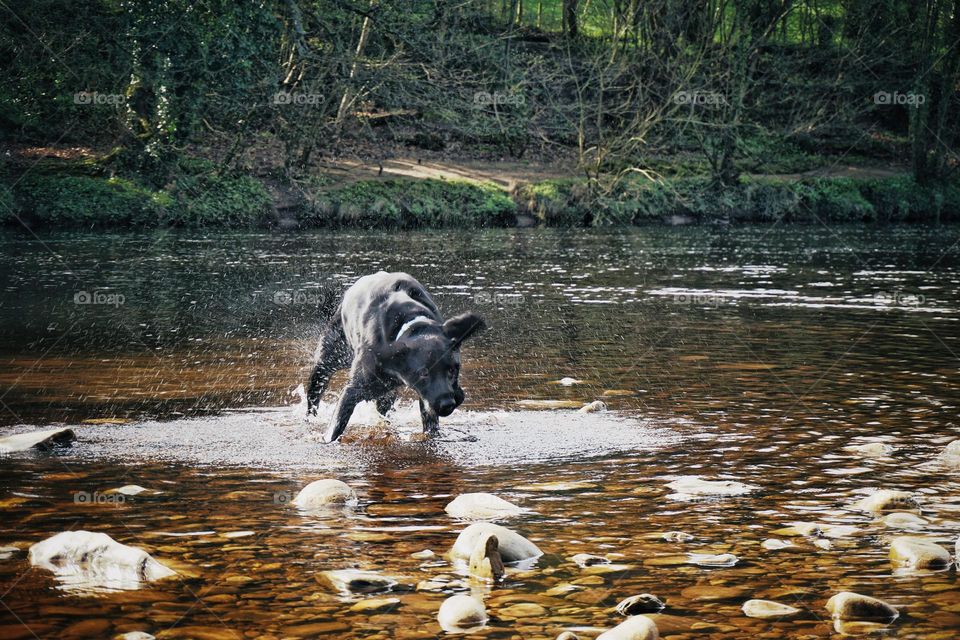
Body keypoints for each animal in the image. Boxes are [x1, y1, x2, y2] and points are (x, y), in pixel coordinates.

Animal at [308, 272, 488, 444]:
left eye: (452, 370)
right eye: (423, 373)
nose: (447, 404)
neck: (412, 324)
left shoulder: (425, 398)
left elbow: (431, 427)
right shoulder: (352, 390)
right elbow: (335, 427)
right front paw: (326, 440)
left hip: (387, 394)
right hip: (325, 364)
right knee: (313, 401)